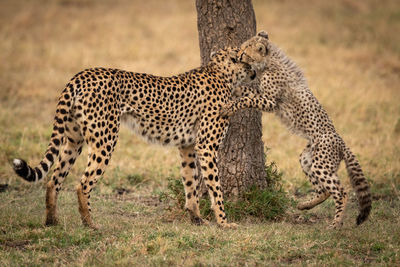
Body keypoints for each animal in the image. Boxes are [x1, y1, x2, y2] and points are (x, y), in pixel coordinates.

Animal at [13, 47, 256, 229]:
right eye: (248, 56)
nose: (255, 70)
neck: (221, 72)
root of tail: (83, 74)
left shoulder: (187, 146)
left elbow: (191, 183)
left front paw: (196, 218)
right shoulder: (206, 146)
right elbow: (215, 188)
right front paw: (224, 223)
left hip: (74, 140)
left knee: (53, 180)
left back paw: (51, 222)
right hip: (105, 140)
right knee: (82, 184)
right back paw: (90, 224)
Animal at [222, 31, 372, 228]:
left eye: (245, 51)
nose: (238, 55)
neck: (269, 62)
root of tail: (340, 140)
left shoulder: (270, 101)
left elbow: (247, 99)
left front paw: (229, 105)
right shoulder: (262, 94)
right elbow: (247, 90)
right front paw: (234, 88)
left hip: (322, 164)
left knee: (341, 192)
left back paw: (335, 224)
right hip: (308, 160)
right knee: (324, 190)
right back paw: (304, 205)